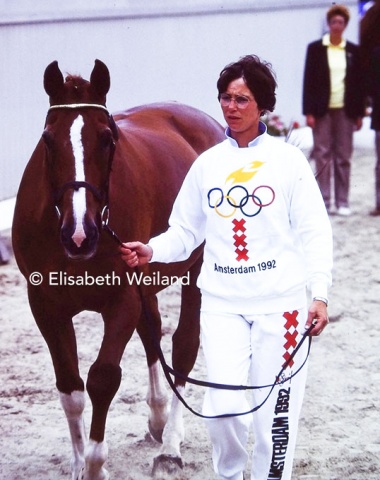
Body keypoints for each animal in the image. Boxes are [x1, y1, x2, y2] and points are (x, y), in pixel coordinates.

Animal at [12, 61, 226, 480]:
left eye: (107, 138)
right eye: (47, 139)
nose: (79, 233)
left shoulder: (122, 300)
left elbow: (103, 378)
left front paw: (96, 465)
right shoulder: (45, 305)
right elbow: (70, 387)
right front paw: (80, 462)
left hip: (195, 272)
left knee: (183, 346)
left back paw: (170, 447)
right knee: (152, 331)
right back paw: (157, 419)